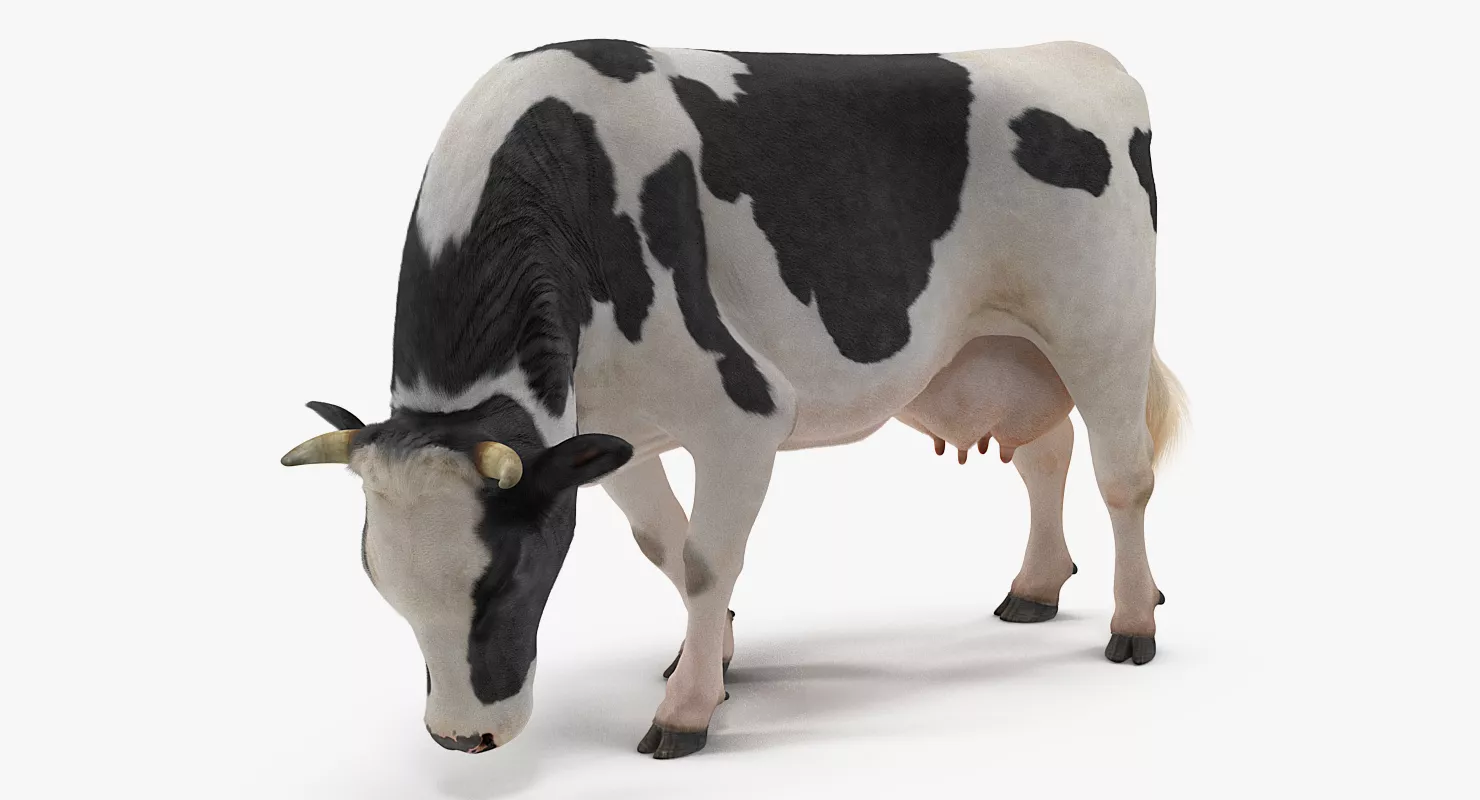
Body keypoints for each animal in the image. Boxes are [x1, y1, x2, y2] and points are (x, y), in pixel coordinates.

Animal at [281, 39, 1185, 760]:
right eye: (381, 585)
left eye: (507, 579)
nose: (461, 737)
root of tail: (1080, 55)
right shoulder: (607, 435)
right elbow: (665, 547)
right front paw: (708, 662)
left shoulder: (741, 412)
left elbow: (707, 559)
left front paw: (685, 711)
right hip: (1006, 349)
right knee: (1044, 453)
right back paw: (1035, 589)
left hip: (1103, 330)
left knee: (1123, 478)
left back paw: (1133, 623)